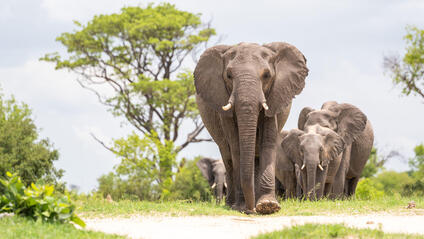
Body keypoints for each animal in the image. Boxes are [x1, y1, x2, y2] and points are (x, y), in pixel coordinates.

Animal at [195, 42, 308, 214]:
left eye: (267, 75)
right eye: (229, 76)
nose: (250, 210)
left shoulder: (274, 97)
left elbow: (267, 142)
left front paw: (268, 206)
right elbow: (236, 146)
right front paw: (241, 207)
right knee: (228, 156)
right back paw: (232, 204)